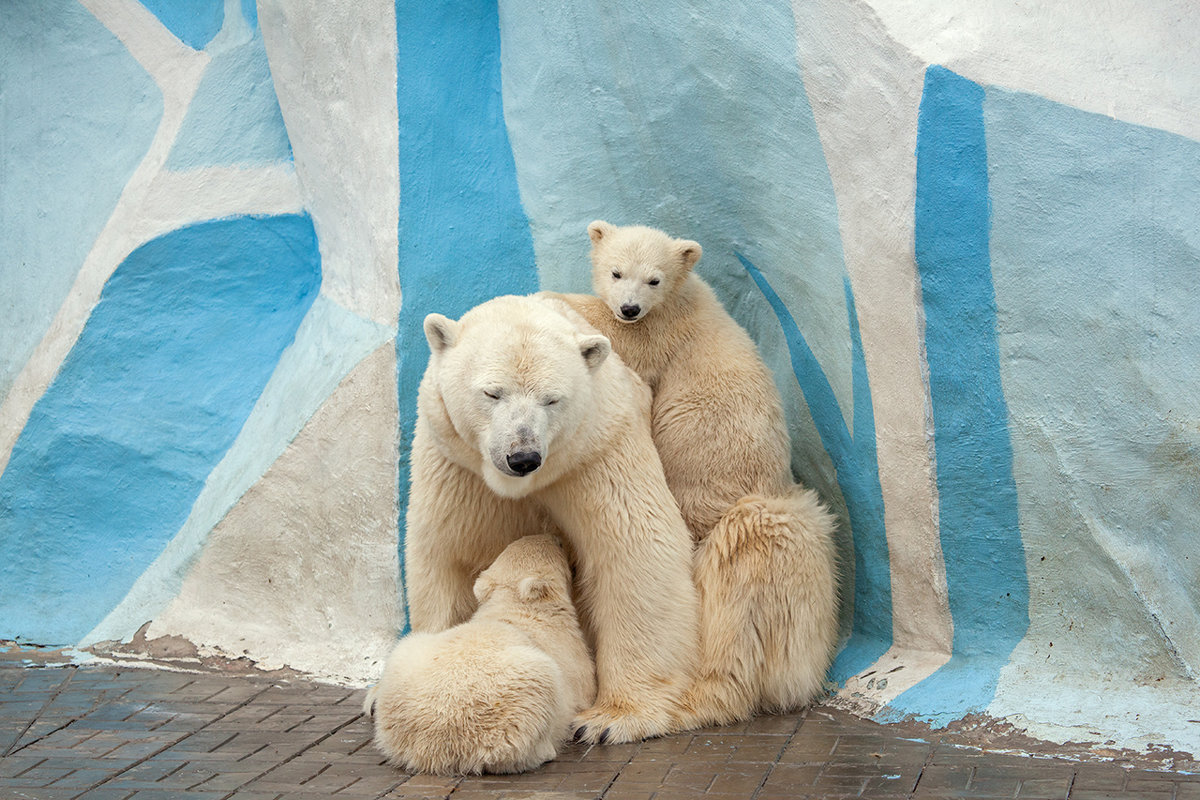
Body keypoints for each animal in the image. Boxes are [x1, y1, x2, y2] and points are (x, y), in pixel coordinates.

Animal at [408, 292, 700, 743]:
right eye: (492, 393)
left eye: (552, 399)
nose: (523, 456)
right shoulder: (455, 463)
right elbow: (445, 551)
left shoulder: (595, 451)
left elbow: (636, 549)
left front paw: (610, 719)